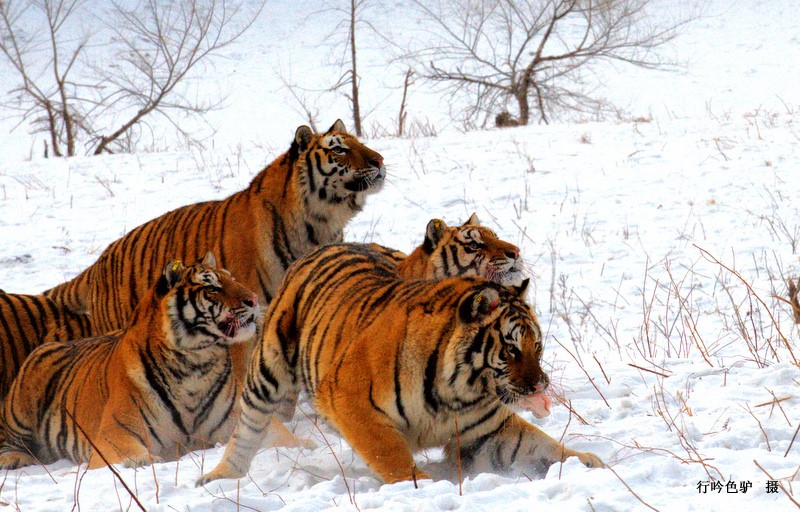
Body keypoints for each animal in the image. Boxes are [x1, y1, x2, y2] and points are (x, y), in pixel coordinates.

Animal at [0, 254, 262, 470]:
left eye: (232, 279)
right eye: (211, 287)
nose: (254, 299)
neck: (196, 366)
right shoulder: (115, 435)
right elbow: (136, 458)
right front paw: (143, 461)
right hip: (22, 403)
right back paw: (14, 459)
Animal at [38, 119, 384, 384]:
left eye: (360, 142)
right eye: (339, 149)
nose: (379, 161)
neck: (320, 223)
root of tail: (98, 263)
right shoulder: (244, 324)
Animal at [198, 242, 600, 486]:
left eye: (538, 346)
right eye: (513, 349)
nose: (540, 386)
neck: (458, 389)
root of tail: (323, 247)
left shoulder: (488, 428)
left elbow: (541, 444)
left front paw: (589, 463)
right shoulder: (351, 403)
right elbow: (390, 455)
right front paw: (423, 485)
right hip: (268, 368)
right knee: (248, 427)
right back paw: (222, 475)